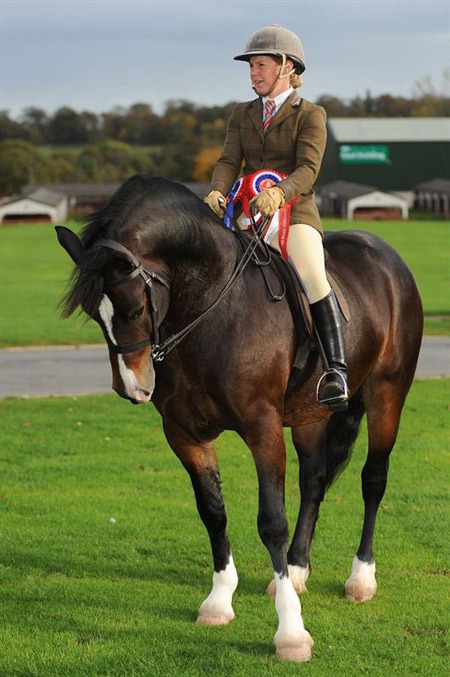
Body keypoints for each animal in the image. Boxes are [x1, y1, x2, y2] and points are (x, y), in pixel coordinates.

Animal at [55, 173, 422, 660]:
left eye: (134, 309)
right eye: (93, 315)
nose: (132, 388)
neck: (209, 307)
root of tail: (384, 253)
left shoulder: (261, 427)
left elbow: (271, 522)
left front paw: (291, 634)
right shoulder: (184, 433)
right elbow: (212, 511)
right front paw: (218, 601)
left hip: (387, 396)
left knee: (373, 479)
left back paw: (360, 577)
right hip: (309, 414)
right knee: (314, 481)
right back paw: (297, 570)